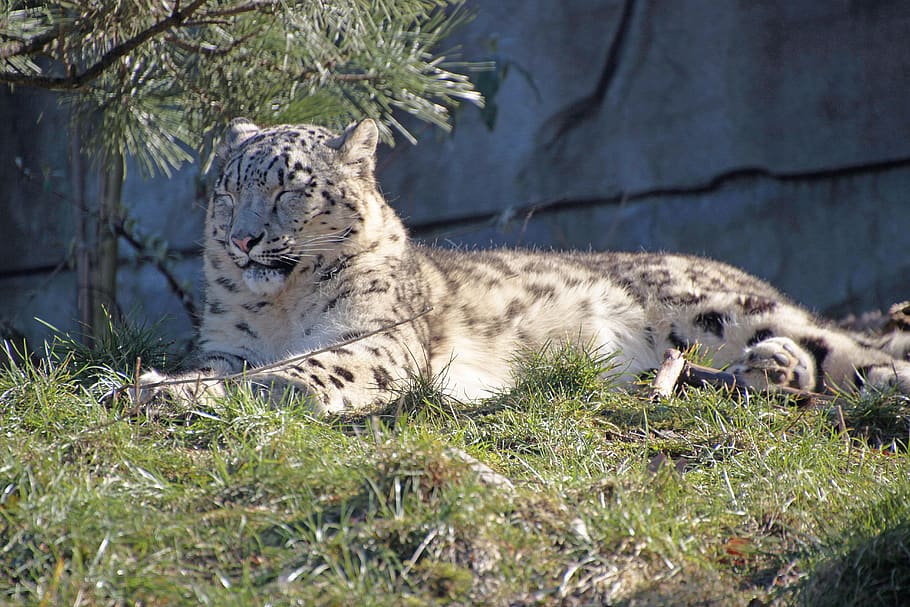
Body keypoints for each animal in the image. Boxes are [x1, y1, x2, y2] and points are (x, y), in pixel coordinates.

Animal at [132, 117, 910, 416]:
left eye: (288, 188)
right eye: (227, 190)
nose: (243, 240)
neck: (280, 309)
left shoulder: (373, 341)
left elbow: (299, 370)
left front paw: (165, 391)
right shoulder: (227, 342)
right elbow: (228, 366)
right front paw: (164, 382)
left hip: (722, 308)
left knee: (847, 347)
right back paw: (770, 369)